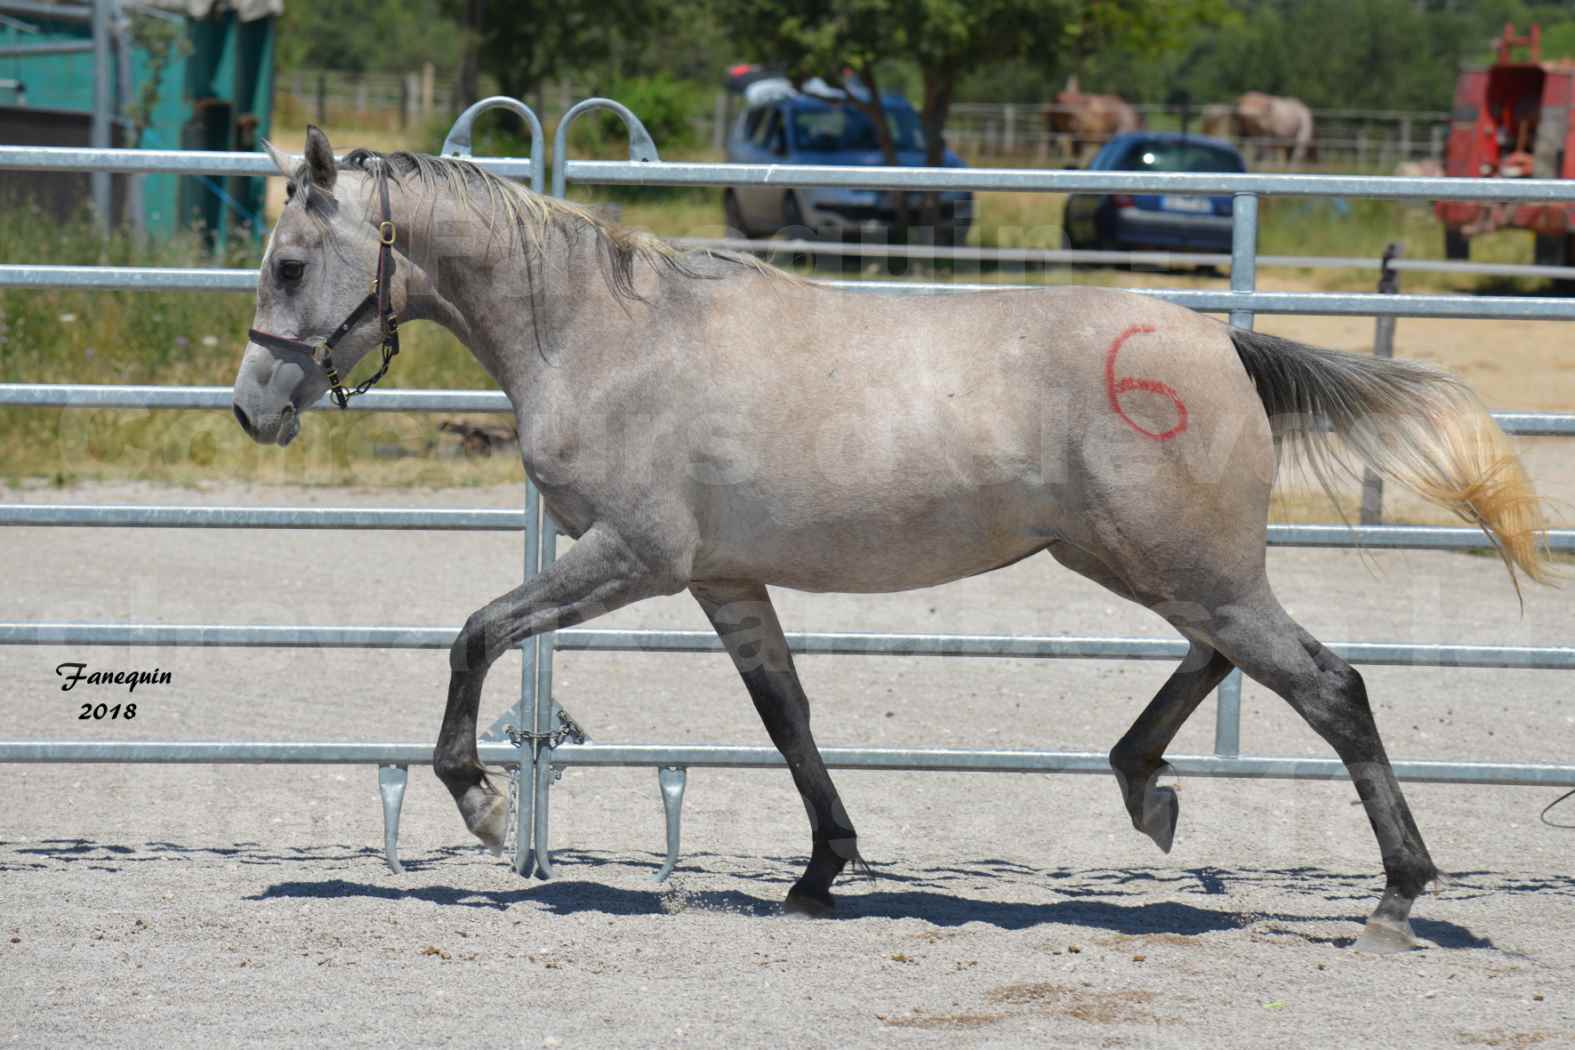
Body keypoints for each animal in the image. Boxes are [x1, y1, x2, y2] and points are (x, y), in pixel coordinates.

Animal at [229, 129, 1549, 950]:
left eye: (290, 263)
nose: (251, 410)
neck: (608, 337)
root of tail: (1220, 340)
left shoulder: (635, 559)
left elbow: (475, 636)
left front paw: (487, 806)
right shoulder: (726, 581)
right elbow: (788, 718)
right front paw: (819, 874)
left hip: (1177, 567)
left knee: (1330, 687)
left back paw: (1394, 900)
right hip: (1162, 566)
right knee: (1232, 663)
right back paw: (1147, 791)